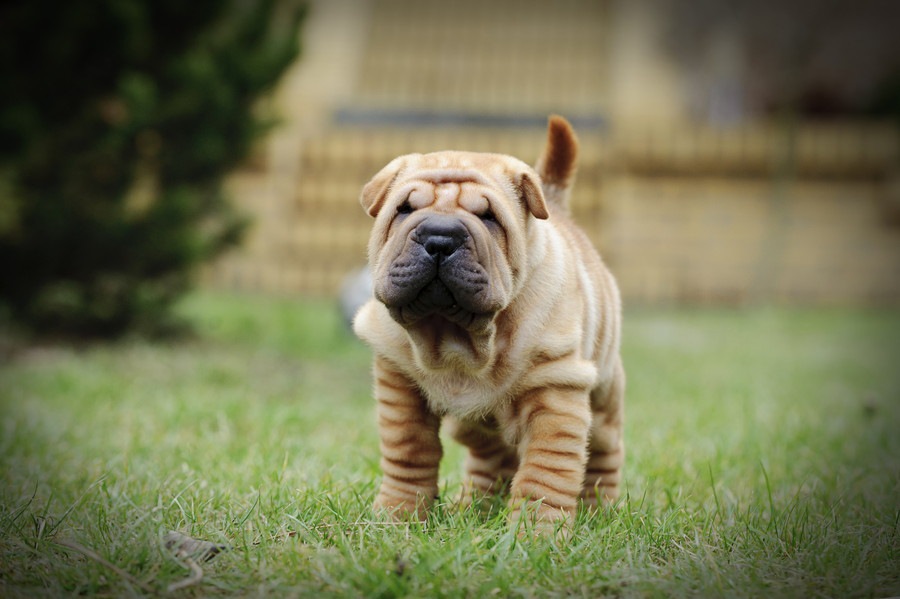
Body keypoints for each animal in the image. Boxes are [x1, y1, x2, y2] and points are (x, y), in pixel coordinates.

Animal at [354, 117, 624, 536]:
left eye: (488, 217)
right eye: (404, 209)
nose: (440, 237)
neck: (456, 338)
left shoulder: (556, 392)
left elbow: (545, 473)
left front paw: (535, 535)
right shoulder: (399, 383)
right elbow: (408, 451)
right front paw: (397, 516)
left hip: (605, 402)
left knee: (602, 458)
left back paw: (602, 514)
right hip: (473, 425)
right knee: (490, 459)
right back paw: (474, 510)